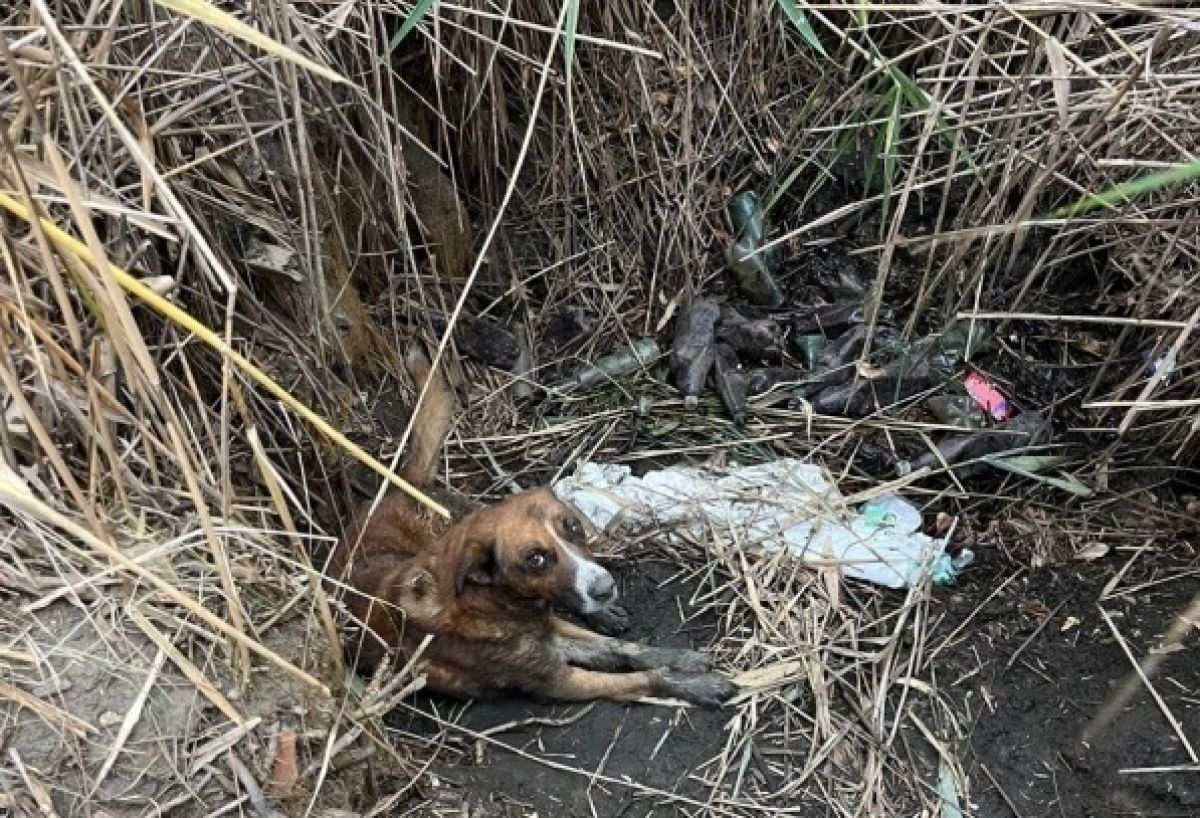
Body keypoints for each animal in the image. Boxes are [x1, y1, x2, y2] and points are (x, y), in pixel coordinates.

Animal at [328, 347, 734, 705]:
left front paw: (679, 658)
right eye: (535, 559)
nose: (605, 588)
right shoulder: (556, 678)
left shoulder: (553, 631)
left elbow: (625, 649)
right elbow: (639, 677)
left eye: (574, 526)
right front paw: (694, 684)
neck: (494, 603)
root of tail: (397, 485)